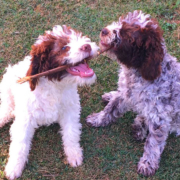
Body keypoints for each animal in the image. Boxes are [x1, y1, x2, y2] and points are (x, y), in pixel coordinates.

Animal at [87, 10, 180, 176]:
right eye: (120, 22)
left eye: (127, 35)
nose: (104, 31)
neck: (138, 72)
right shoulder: (125, 93)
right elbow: (110, 109)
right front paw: (98, 119)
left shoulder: (159, 116)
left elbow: (153, 143)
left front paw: (147, 163)